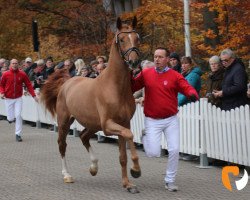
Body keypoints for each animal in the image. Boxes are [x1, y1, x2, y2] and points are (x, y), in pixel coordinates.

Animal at [40, 17, 141, 194]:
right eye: (122, 39)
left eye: (137, 38)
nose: (134, 62)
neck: (115, 88)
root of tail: (67, 82)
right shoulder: (108, 125)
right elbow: (129, 135)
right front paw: (136, 170)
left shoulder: (123, 123)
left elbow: (123, 155)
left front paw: (128, 184)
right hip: (65, 122)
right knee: (62, 144)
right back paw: (67, 175)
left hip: (93, 124)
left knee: (84, 136)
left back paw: (94, 167)